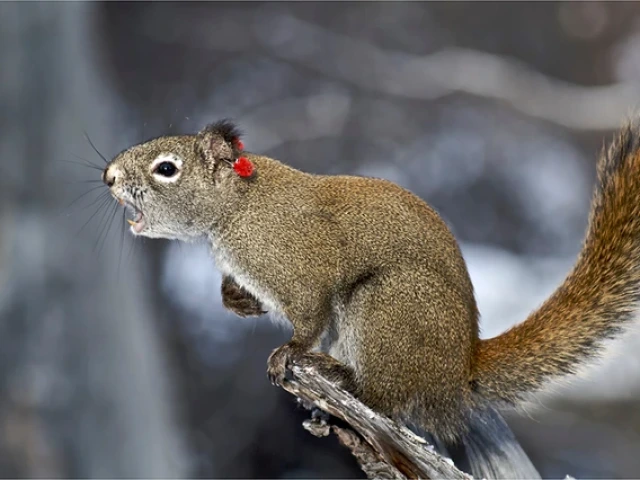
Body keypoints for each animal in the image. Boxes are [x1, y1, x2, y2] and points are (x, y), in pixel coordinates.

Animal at [102, 118, 640, 479]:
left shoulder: (303, 268)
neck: (238, 205)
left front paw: (288, 353)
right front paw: (238, 299)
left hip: (384, 307)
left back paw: (337, 375)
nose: (108, 176)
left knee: (382, 396)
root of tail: (459, 368)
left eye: (166, 169)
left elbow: (308, 317)